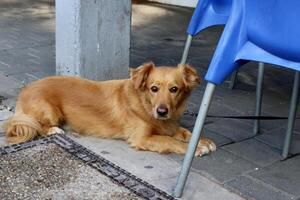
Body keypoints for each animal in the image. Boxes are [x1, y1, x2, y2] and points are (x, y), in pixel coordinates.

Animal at [4, 62, 216, 156]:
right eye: (154, 88)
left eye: (174, 89)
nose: (162, 112)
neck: (145, 104)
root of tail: (25, 90)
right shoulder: (142, 138)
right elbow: (170, 140)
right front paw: (195, 149)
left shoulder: (169, 125)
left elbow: (185, 132)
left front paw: (203, 141)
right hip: (50, 111)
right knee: (38, 126)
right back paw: (55, 130)